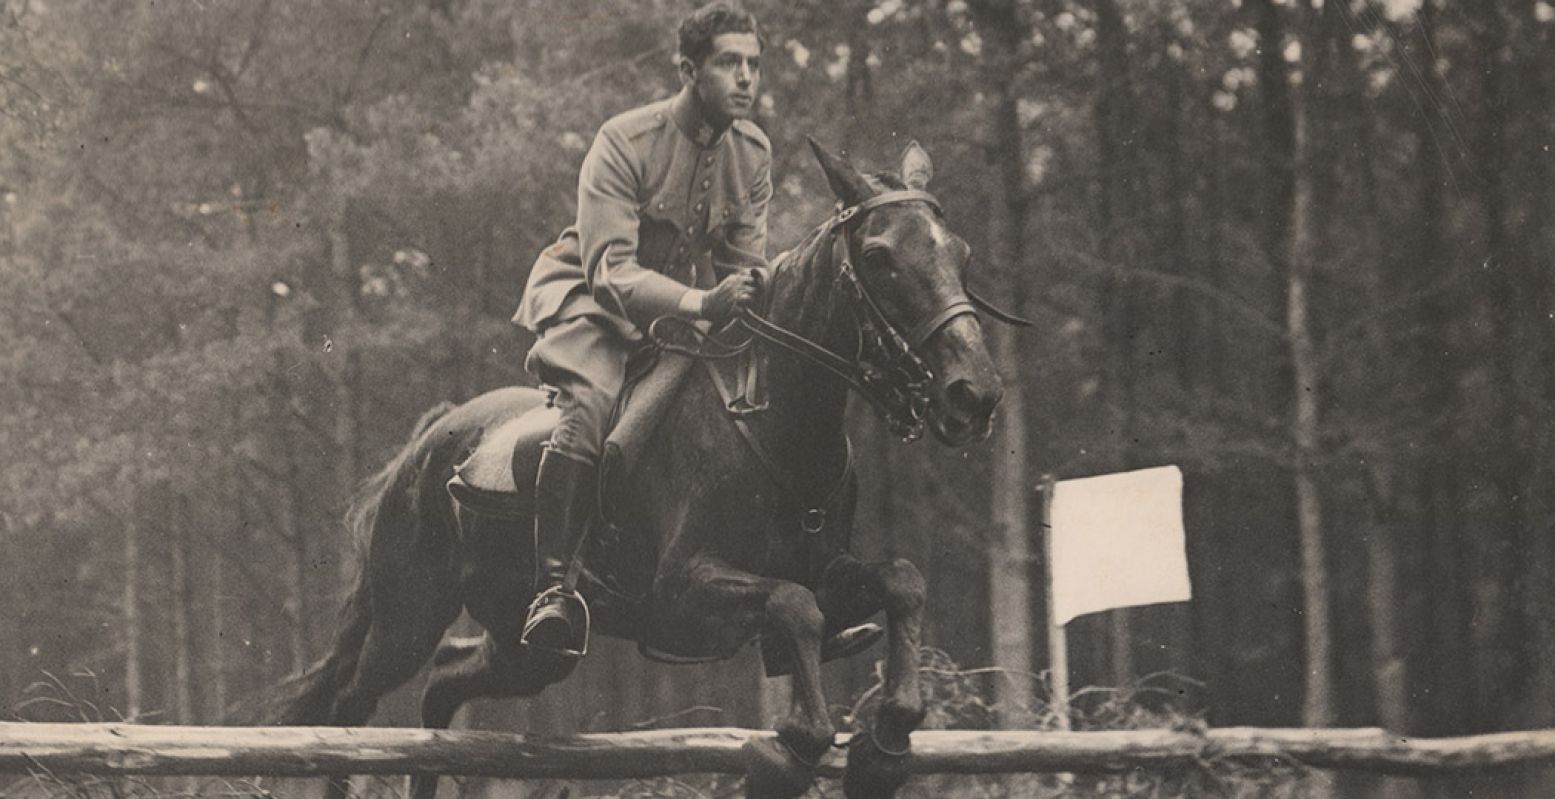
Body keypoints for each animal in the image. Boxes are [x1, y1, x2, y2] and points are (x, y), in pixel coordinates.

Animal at [276, 139, 1007, 792]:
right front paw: (797, 744)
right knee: (348, 708)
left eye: (964, 254)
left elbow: (901, 582)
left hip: (521, 647)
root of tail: (431, 436)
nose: (973, 394)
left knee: (444, 685)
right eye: (880, 258)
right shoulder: (682, 592)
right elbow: (793, 610)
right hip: (407, 617)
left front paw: (889, 736)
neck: (769, 417)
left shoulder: (828, 569)